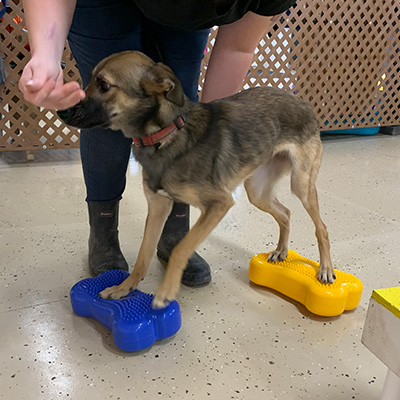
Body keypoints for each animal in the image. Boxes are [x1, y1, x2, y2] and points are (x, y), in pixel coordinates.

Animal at [58, 49, 334, 306]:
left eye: (104, 85)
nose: (62, 111)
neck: (164, 136)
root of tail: (302, 101)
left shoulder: (219, 204)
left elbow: (181, 248)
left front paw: (166, 290)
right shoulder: (158, 206)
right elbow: (143, 255)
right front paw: (124, 287)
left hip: (301, 184)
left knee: (321, 227)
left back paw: (326, 270)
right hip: (257, 191)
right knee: (285, 213)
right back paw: (281, 251)